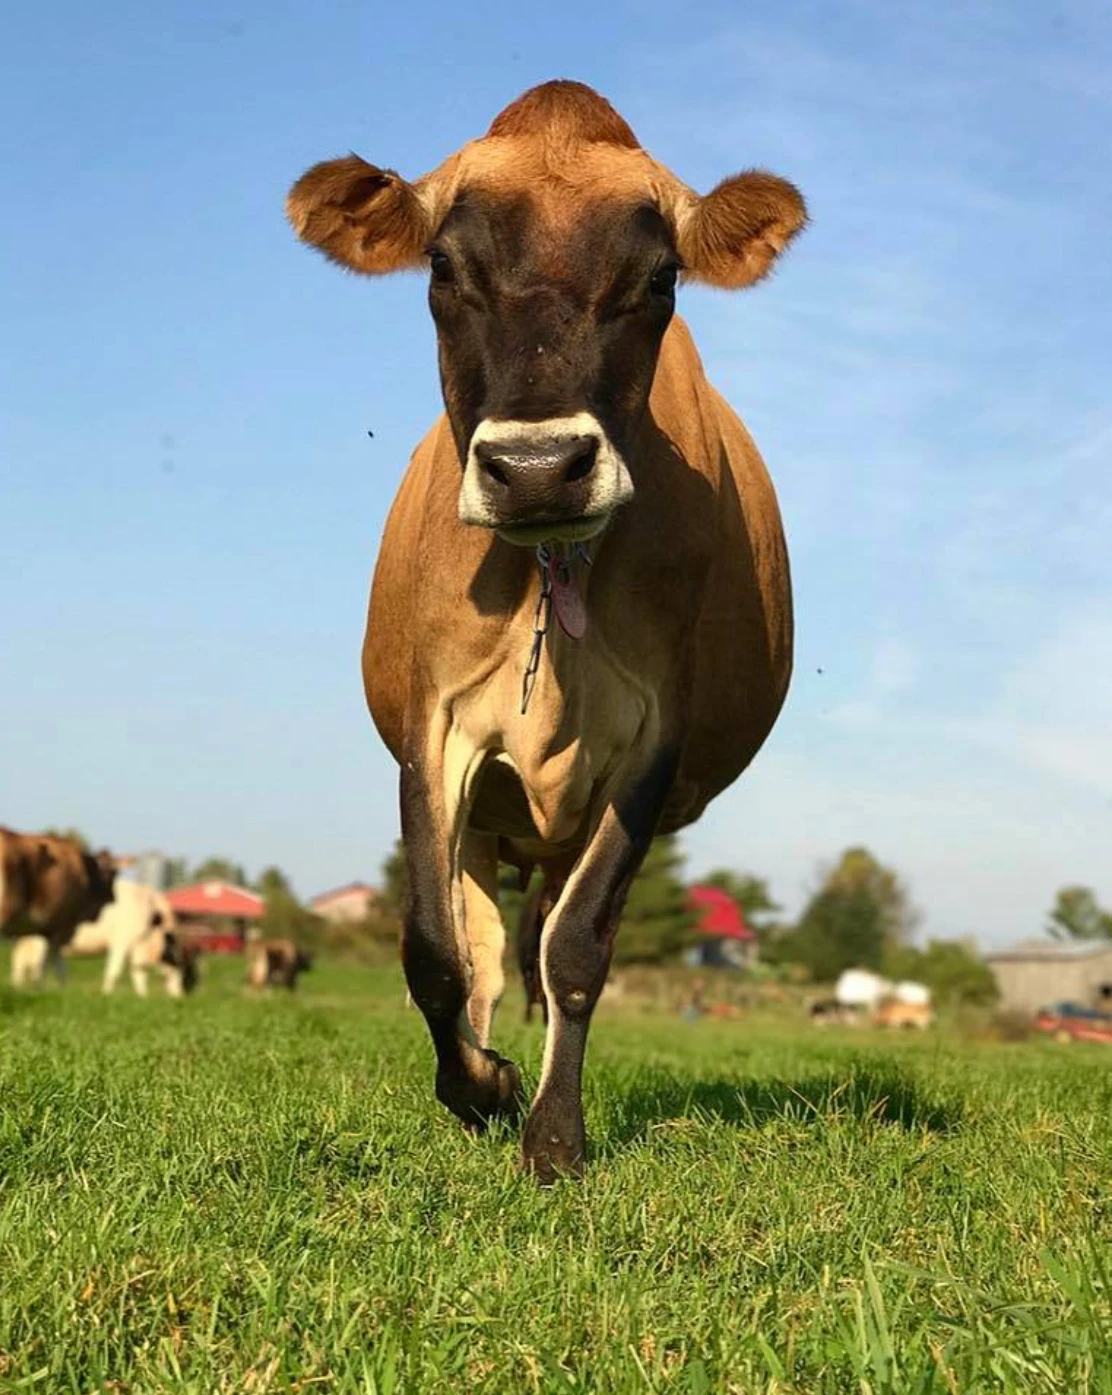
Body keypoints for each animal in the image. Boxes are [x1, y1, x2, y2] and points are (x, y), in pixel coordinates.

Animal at [287, 80, 805, 1180]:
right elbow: (433, 953)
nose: (534, 470)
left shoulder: (651, 740)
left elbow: (575, 951)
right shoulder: (432, 728)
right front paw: (480, 1088)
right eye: (443, 267)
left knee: (540, 938)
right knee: (483, 949)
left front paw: (554, 1136)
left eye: (659, 277)